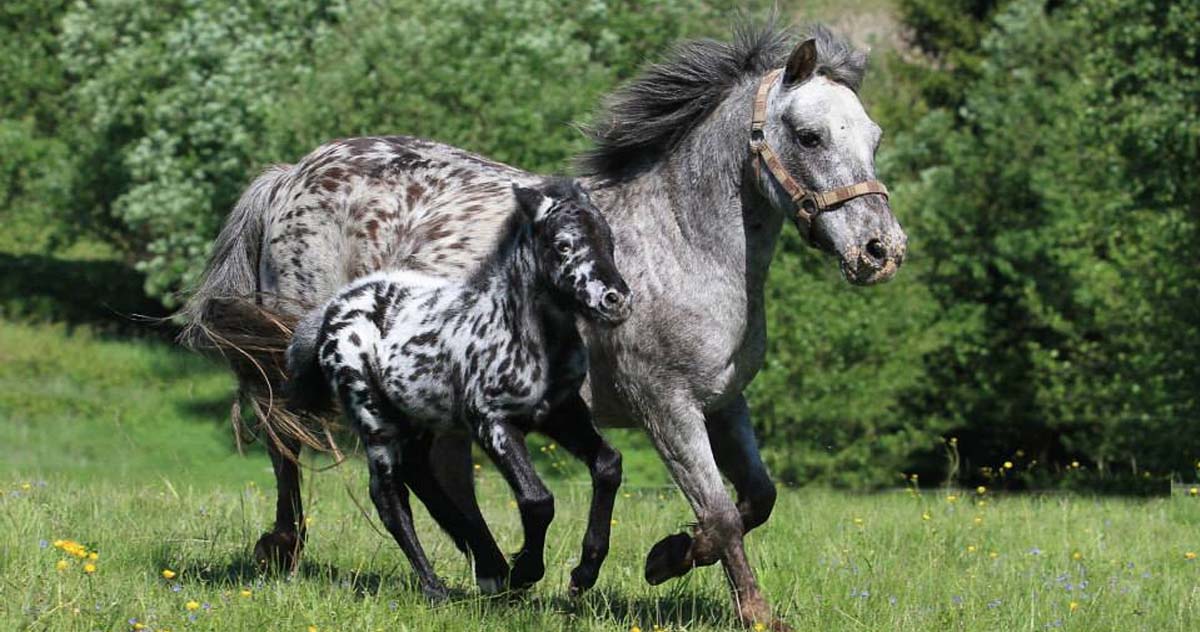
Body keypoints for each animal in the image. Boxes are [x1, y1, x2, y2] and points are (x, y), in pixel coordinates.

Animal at [286, 176, 633, 599]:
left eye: (608, 239)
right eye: (563, 244)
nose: (616, 300)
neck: (526, 336)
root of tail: (332, 309)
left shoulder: (561, 412)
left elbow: (608, 466)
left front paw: (583, 573)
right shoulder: (491, 422)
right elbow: (537, 499)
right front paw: (525, 573)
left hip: (418, 420)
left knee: (420, 475)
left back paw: (488, 565)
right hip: (375, 422)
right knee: (389, 497)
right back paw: (438, 587)